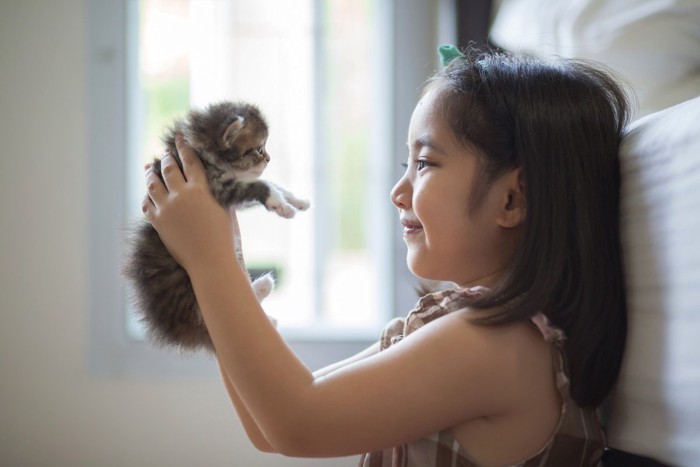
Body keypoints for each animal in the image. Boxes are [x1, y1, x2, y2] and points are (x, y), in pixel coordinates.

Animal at [123, 100, 308, 352]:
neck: (203, 150)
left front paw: (297, 201)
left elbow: (271, 182)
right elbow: (262, 184)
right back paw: (264, 292)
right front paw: (281, 205)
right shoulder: (221, 188)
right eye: (259, 148)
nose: (269, 158)